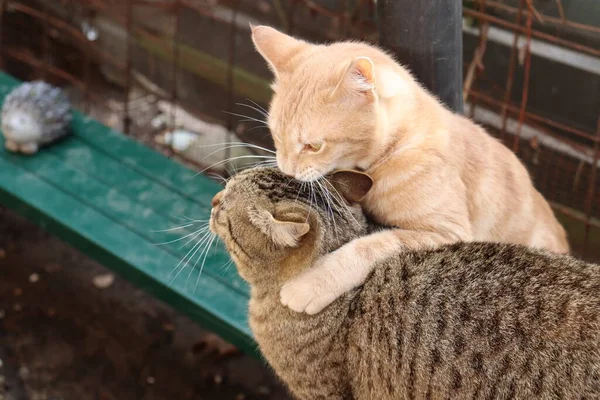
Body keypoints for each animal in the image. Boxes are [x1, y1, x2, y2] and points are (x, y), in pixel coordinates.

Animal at [251, 25, 568, 316]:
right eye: (276, 136)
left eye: (313, 146)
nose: (287, 169)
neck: (392, 150)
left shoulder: (446, 232)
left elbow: (370, 246)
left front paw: (313, 283)